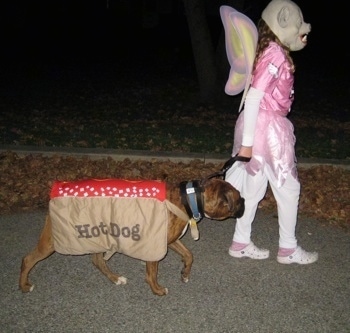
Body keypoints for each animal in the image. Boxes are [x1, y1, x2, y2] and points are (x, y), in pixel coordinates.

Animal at [18, 178, 243, 294]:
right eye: (239, 198)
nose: (245, 204)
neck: (190, 198)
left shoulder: (171, 240)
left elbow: (189, 255)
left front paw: (185, 274)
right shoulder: (156, 246)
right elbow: (152, 273)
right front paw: (157, 290)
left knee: (98, 260)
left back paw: (115, 278)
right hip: (52, 240)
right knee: (28, 259)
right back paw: (23, 285)